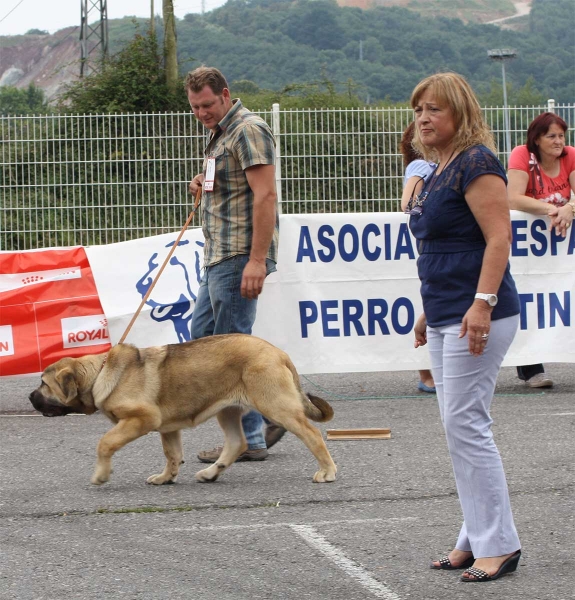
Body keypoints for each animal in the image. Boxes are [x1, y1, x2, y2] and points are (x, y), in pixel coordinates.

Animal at [29, 332, 338, 488]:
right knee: (236, 443)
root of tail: (280, 353)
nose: (30, 396)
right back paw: (212, 473)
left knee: (312, 434)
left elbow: (105, 443)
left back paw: (327, 471)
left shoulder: (142, 418)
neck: (99, 374)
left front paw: (101, 475)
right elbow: (172, 454)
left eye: (43, 384)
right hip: (227, 410)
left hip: (275, 404)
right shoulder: (168, 427)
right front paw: (166, 477)